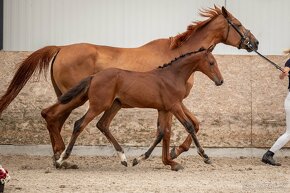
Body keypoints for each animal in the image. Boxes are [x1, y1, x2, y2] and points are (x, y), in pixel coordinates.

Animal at [42, 47, 223, 170]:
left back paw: (123, 158)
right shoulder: (174, 106)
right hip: (98, 105)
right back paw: (61, 160)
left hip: (115, 105)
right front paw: (205, 156)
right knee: (79, 124)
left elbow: (161, 133)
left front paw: (140, 159)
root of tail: (94, 76)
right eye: (211, 63)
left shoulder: (164, 109)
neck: (172, 76)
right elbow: (189, 126)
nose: (220, 81)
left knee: (102, 124)